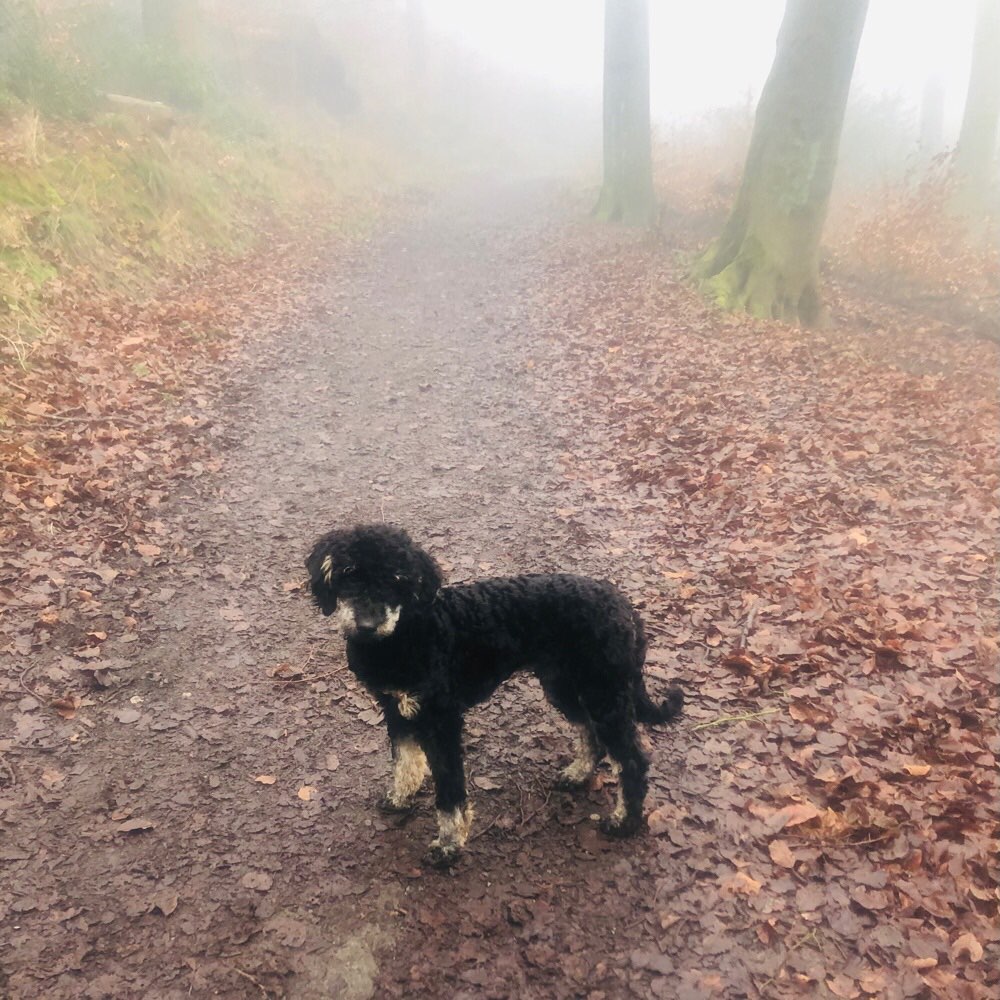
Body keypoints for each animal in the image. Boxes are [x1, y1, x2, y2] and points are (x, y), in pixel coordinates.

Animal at [304, 524, 680, 868]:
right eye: (349, 573)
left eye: (397, 578)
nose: (367, 625)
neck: (406, 635)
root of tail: (625, 607)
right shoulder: (397, 710)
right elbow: (405, 760)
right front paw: (400, 797)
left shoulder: (442, 722)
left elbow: (450, 790)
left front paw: (449, 844)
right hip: (566, 687)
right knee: (591, 735)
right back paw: (577, 775)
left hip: (603, 693)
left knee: (632, 760)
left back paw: (624, 822)